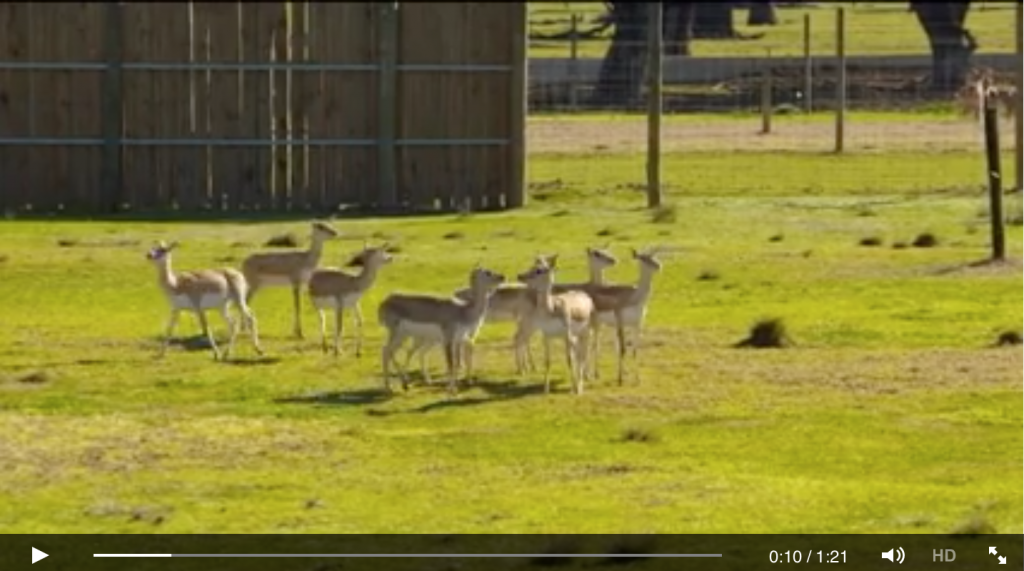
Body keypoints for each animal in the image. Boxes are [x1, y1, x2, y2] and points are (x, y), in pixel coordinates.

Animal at [378, 266, 505, 397]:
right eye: (487, 273)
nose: (502, 277)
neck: (463, 311)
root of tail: (385, 301)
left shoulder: (458, 341)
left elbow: (457, 364)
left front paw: (455, 390)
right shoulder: (448, 340)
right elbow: (450, 364)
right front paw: (451, 391)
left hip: (404, 336)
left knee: (392, 351)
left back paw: (405, 385)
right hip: (396, 333)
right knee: (386, 351)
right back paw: (390, 387)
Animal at [516, 261, 598, 397]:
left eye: (539, 270)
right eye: (532, 265)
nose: (520, 276)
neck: (552, 309)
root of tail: (586, 297)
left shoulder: (566, 335)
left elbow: (570, 360)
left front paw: (575, 389)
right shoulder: (547, 336)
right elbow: (547, 361)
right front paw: (545, 390)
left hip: (587, 332)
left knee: (584, 353)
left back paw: (584, 381)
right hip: (576, 336)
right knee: (580, 353)